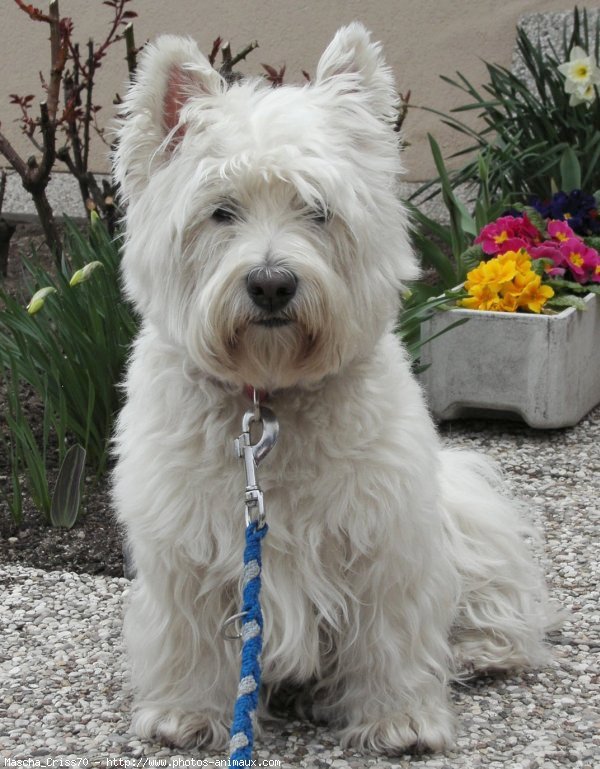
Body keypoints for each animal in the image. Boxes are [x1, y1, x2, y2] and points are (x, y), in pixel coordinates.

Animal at [112, 22, 552, 752]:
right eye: (220, 212)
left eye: (318, 210)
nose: (271, 284)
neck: (269, 399)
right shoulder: (188, 543)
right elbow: (192, 631)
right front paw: (186, 711)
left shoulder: (383, 535)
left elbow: (389, 631)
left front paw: (400, 718)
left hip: (461, 516)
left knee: (486, 595)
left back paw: (481, 650)